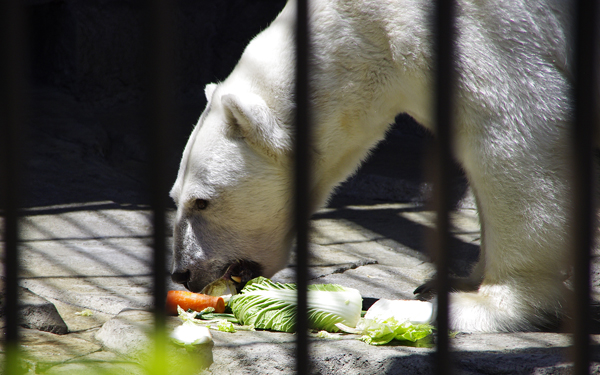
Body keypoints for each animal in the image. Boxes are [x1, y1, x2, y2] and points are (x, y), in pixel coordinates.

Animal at [170, 0, 596, 334]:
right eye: (175, 198)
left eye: (202, 201)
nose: (182, 273)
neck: (364, 26)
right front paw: (451, 282)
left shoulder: (484, 34)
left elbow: (516, 130)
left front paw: (483, 305)